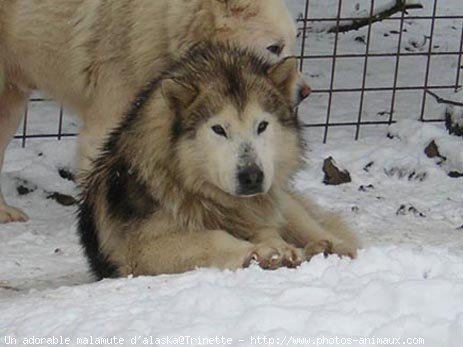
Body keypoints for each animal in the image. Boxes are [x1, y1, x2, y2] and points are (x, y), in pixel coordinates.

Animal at [77, 42, 358, 280]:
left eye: (262, 125)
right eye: (219, 129)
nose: (252, 177)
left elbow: (268, 232)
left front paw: (280, 249)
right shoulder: (137, 250)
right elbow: (213, 237)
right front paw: (260, 252)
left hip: (285, 202)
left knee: (314, 228)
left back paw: (331, 247)